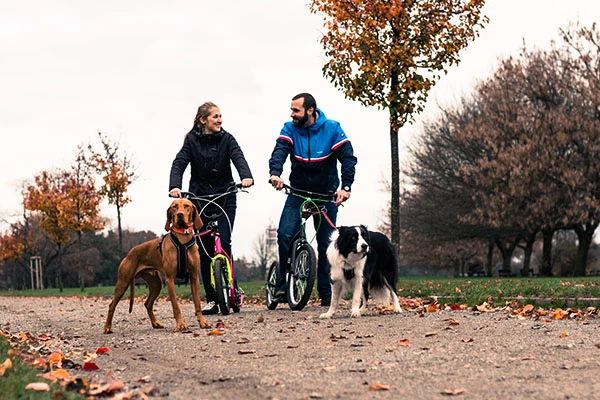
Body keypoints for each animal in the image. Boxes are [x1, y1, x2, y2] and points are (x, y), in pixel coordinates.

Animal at [104, 198, 212, 332]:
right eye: (174, 207)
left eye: (187, 206)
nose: (180, 214)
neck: (183, 238)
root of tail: (130, 252)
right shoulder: (170, 280)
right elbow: (176, 306)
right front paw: (181, 324)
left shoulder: (194, 278)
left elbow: (197, 303)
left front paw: (202, 322)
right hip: (123, 282)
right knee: (111, 305)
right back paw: (107, 327)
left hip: (156, 284)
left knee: (147, 304)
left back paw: (155, 323)